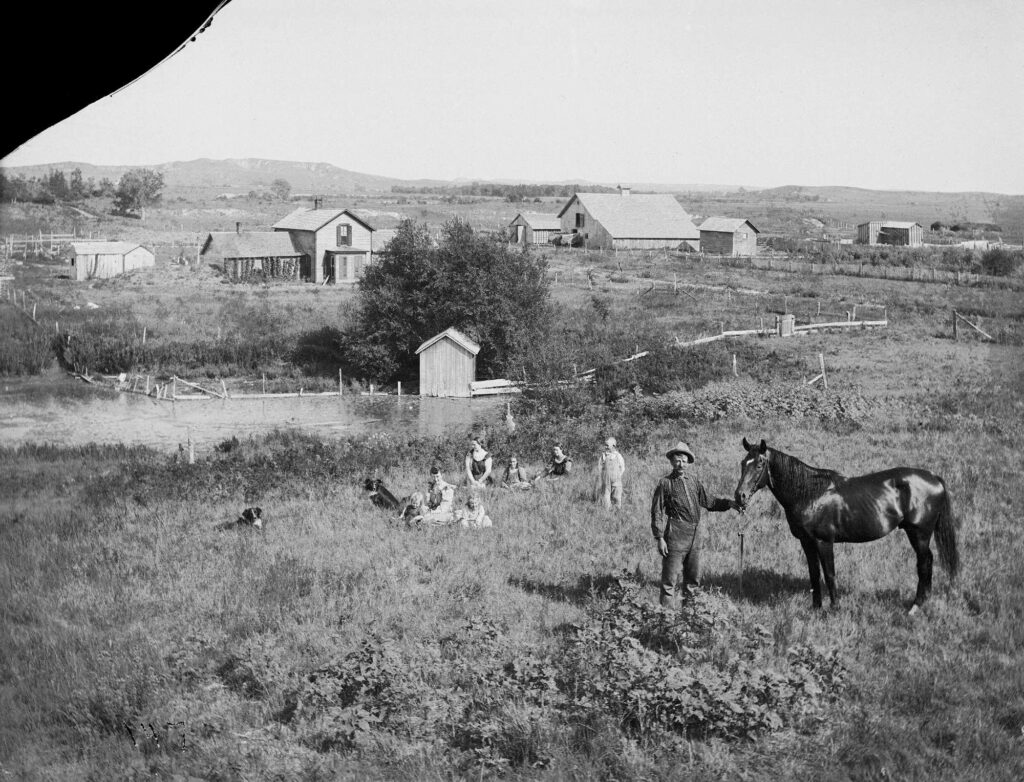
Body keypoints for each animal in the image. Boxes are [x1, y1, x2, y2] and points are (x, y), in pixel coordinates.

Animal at [737, 436, 958, 614]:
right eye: (742, 464)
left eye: (759, 465)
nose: (740, 496)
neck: (810, 494)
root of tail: (934, 478)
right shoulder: (806, 542)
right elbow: (814, 574)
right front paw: (816, 608)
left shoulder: (824, 542)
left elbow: (829, 575)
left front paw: (834, 609)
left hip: (919, 534)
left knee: (924, 563)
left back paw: (915, 607)